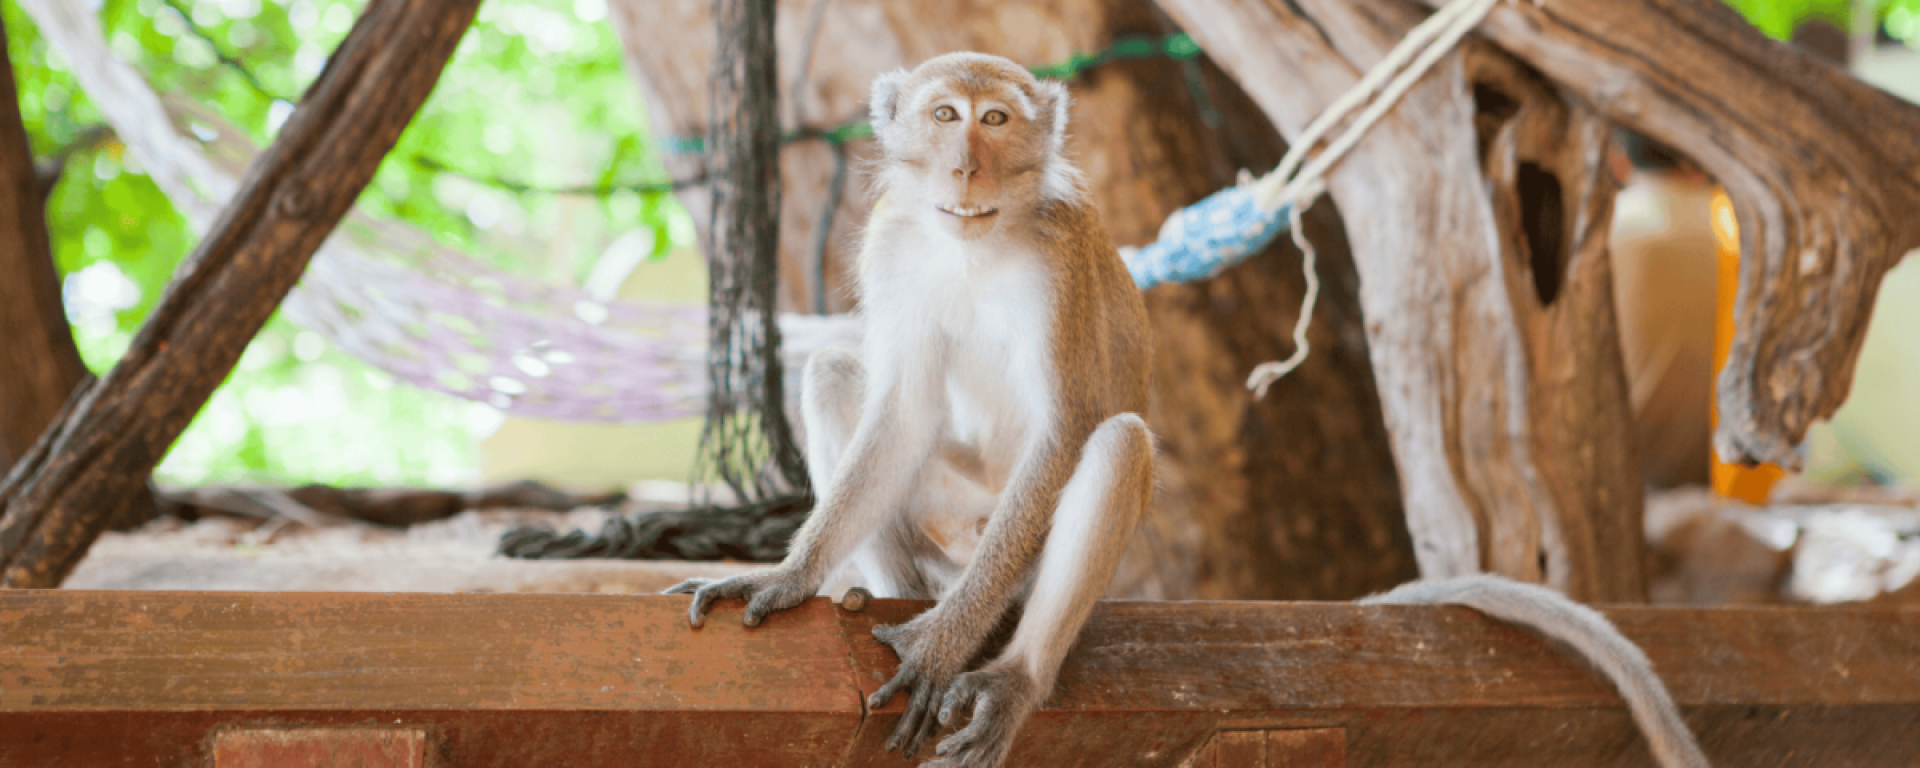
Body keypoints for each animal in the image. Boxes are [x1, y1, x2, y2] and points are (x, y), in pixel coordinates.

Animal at [668, 52, 1710, 768]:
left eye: (995, 119)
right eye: (944, 116)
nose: (964, 167)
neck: (976, 242)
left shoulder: (1059, 263)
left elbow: (1068, 429)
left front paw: (944, 645)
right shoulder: (893, 244)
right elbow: (901, 405)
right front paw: (789, 577)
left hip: (1017, 551)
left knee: (1116, 445)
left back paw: (1011, 671)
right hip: (949, 521)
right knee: (836, 375)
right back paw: (886, 588)